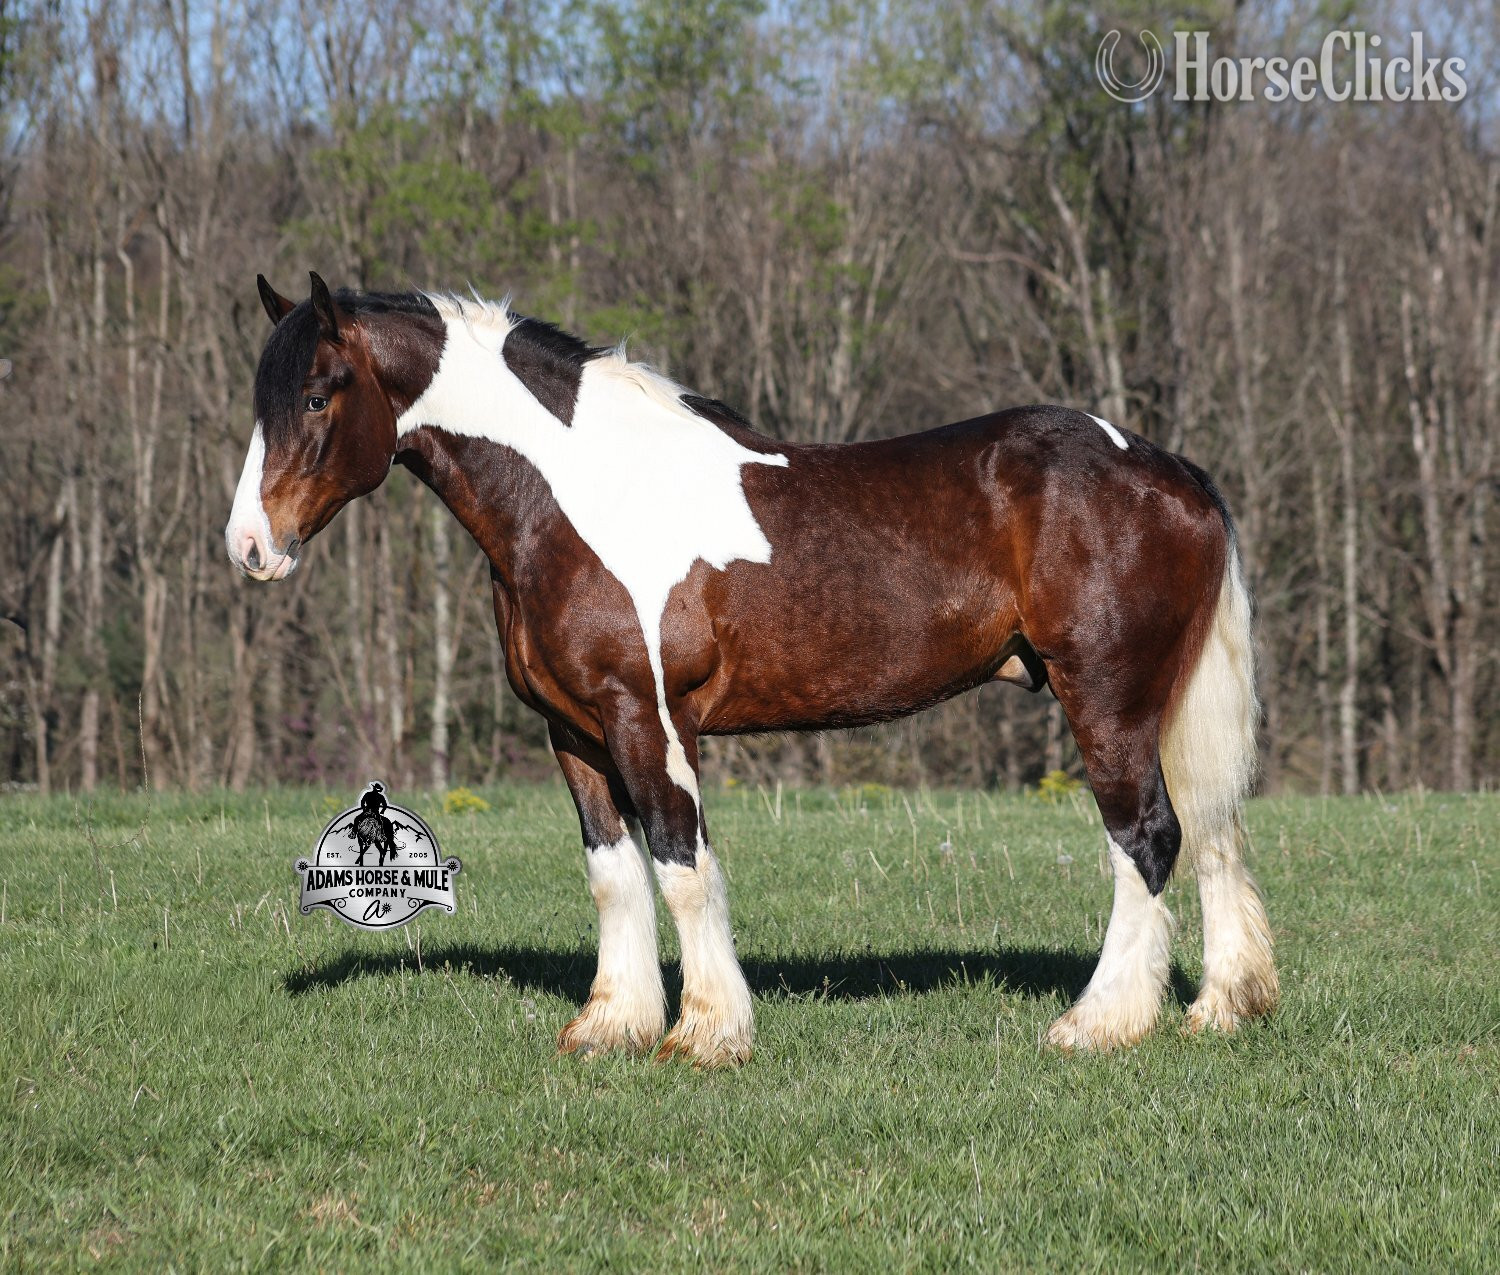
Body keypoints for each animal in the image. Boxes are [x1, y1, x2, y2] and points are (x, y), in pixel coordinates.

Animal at [227, 272, 1279, 1066]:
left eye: (317, 393)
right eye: (262, 400)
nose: (250, 547)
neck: (582, 493)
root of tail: (1168, 470)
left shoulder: (648, 719)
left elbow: (681, 864)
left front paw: (706, 1033)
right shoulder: (574, 729)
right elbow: (614, 874)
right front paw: (611, 1025)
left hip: (1104, 695)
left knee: (1145, 837)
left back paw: (1096, 1024)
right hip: (1162, 705)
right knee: (1214, 831)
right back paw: (1220, 1009)